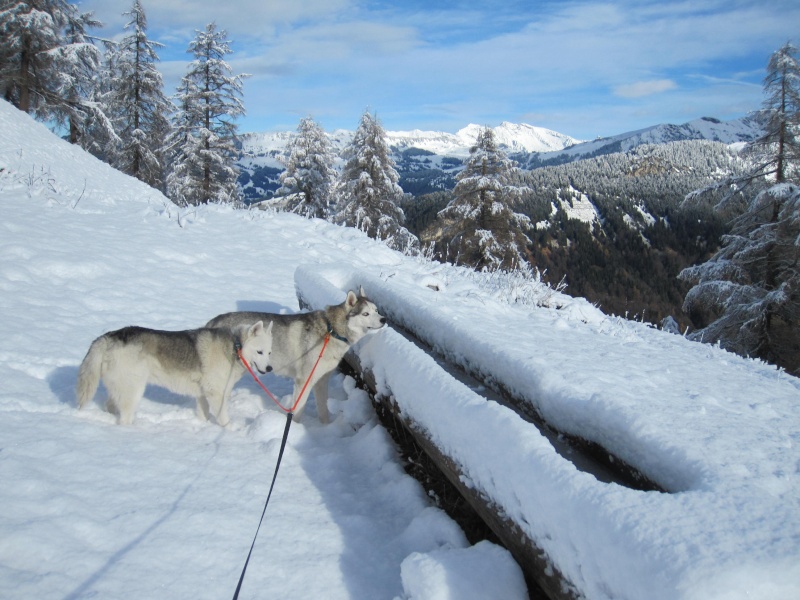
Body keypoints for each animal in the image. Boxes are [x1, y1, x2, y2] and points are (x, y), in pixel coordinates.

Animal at [76, 322, 274, 424]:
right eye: (259, 352)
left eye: (270, 352)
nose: (269, 369)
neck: (235, 346)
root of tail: (108, 337)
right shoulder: (215, 394)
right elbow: (224, 419)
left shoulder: (202, 394)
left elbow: (204, 415)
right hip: (134, 391)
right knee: (124, 418)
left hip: (120, 387)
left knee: (111, 406)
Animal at [208, 288, 386, 422]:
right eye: (365, 314)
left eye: (376, 310)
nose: (384, 319)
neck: (332, 330)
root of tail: (213, 321)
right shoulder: (303, 381)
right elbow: (298, 411)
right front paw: (295, 430)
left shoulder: (321, 380)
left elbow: (323, 410)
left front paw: (326, 429)